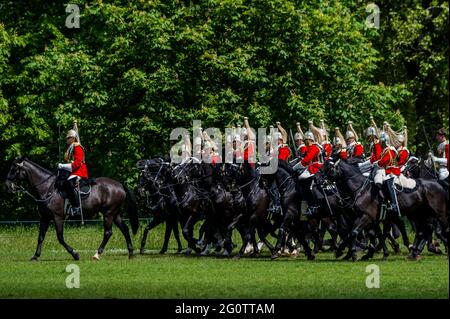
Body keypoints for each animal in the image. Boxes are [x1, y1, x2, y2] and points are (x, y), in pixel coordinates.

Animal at [5, 156, 138, 262]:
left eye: (14, 168)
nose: (7, 187)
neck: (47, 188)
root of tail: (120, 185)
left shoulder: (58, 217)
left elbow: (60, 237)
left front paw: (75, 254)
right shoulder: (44, 218)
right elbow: (41, 237)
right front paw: (35, 256)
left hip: (108, 214)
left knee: (108, 232)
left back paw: (97, 254)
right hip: (115, 214)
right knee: (125, 229)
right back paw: (131, 253)